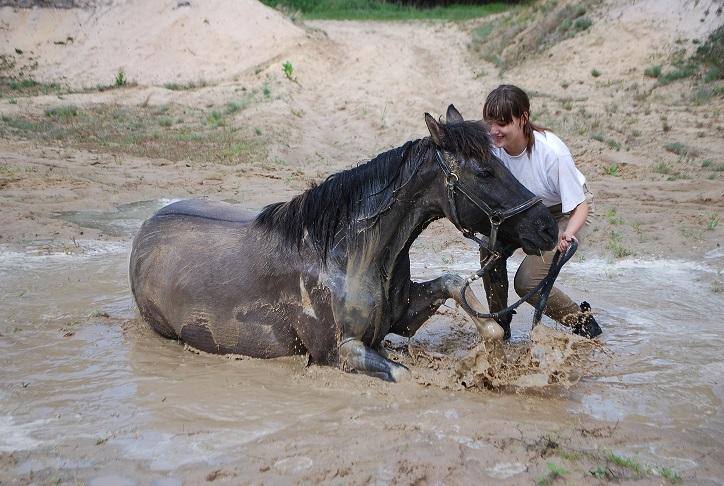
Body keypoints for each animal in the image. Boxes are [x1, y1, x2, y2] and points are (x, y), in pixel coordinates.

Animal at [129, 104, 556, 382]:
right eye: (485, 171)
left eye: (501, 160)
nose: (548, 227)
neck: (346, 254)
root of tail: (146, 229)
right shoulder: (340, 352)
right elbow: (404, 376)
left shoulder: (403, 318)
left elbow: (456, 286)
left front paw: (491, 352)